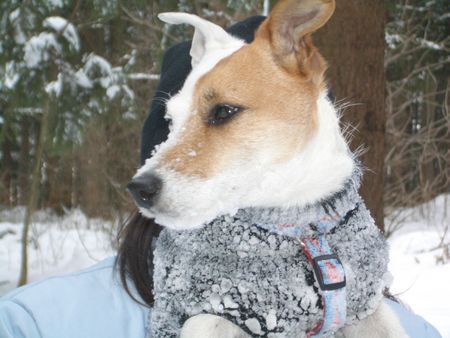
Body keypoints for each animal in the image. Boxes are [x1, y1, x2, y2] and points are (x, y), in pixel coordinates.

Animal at [125, 1, 408, 336]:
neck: (301, 221)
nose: (139, 188)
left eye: (224, 111)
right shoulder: (207, 311)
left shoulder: (364, 307)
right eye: (170, 122)